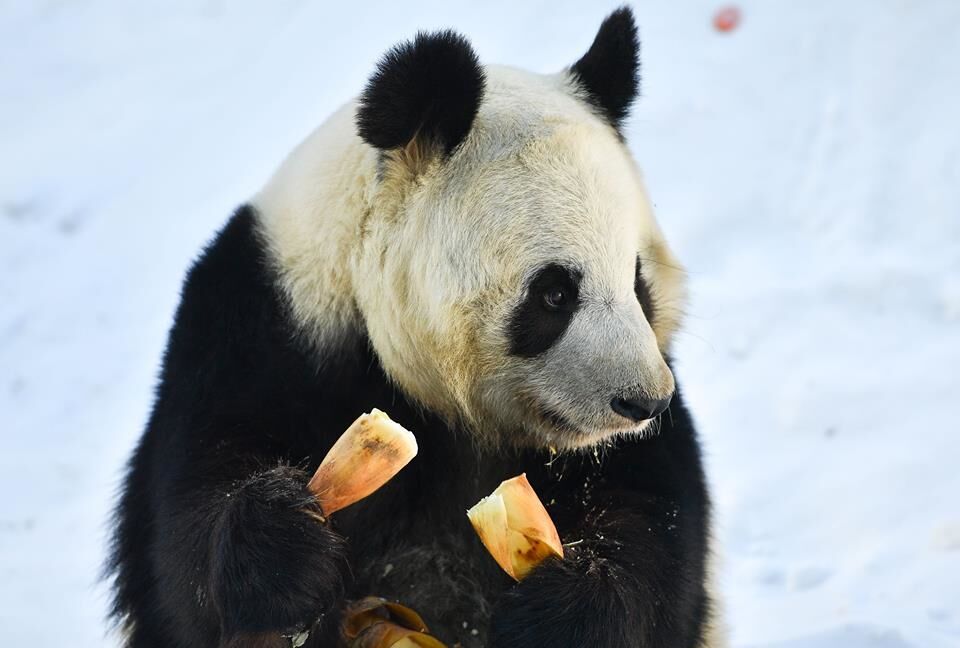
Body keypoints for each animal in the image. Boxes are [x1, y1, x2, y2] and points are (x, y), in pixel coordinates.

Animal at [109, 6, 724, 648]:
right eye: (555, 293)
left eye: (638, 281)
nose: (644, 401)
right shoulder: (259, 327)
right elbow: (185, 532)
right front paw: (285, 549)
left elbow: (657, 530)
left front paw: (561, 611)